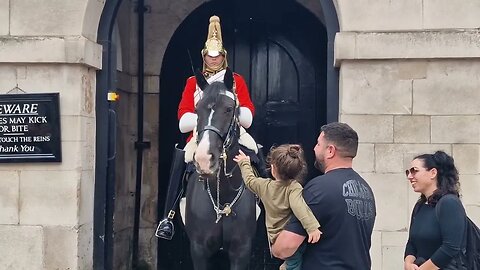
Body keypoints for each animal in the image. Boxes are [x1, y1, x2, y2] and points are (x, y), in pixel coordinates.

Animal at [185, 68, 258, 268]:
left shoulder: (241, 250)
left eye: (228, 109)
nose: (204, 159)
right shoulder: (199, 250)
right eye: (197, 109)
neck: (223, 194)